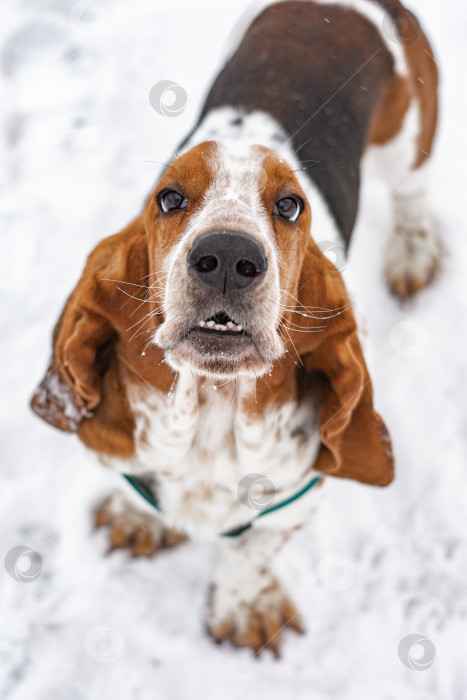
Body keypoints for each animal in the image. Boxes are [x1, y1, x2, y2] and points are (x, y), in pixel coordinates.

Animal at [31, 0, 436, 656]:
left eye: (290, 205)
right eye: (169, 198)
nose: (227, 255)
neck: (211, 413)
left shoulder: (298, 495)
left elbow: (253, 552)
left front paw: (244, 609)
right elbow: (134, 485)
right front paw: (140, 519)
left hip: (409, 142)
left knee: (412, 192)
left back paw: (414, 250)